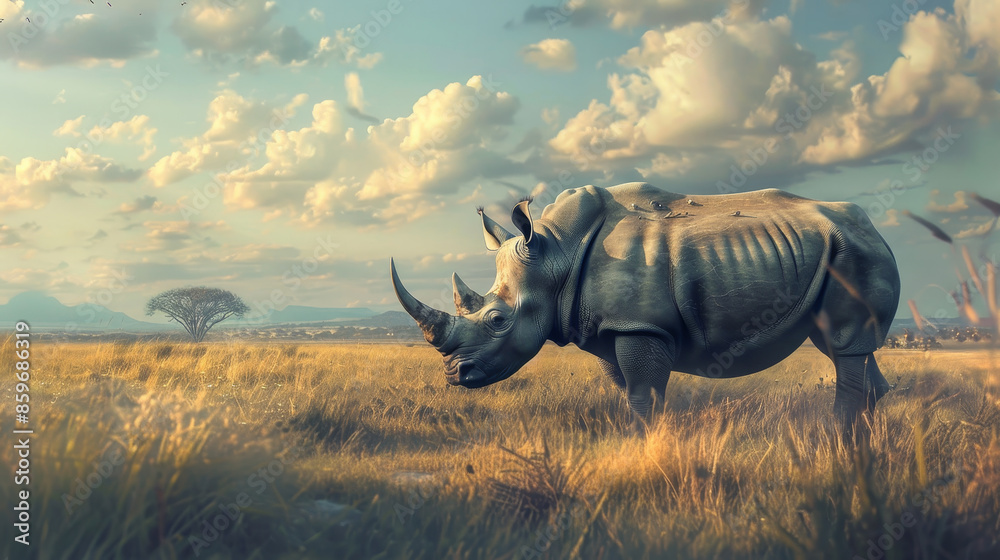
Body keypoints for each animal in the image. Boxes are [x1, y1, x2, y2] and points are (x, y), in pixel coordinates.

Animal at [390, 182, 900, 424]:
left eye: (497, 319)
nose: (454, 375)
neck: (555, 254)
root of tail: (877, 229)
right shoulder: (609, 326)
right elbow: (631, 391)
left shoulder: (639, 324)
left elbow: (642, 394)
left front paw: (643, 443)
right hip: (841, 252)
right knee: (849, 348)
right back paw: (861, 448)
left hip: (855, 254)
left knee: (845, 347)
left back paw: (838, 440)